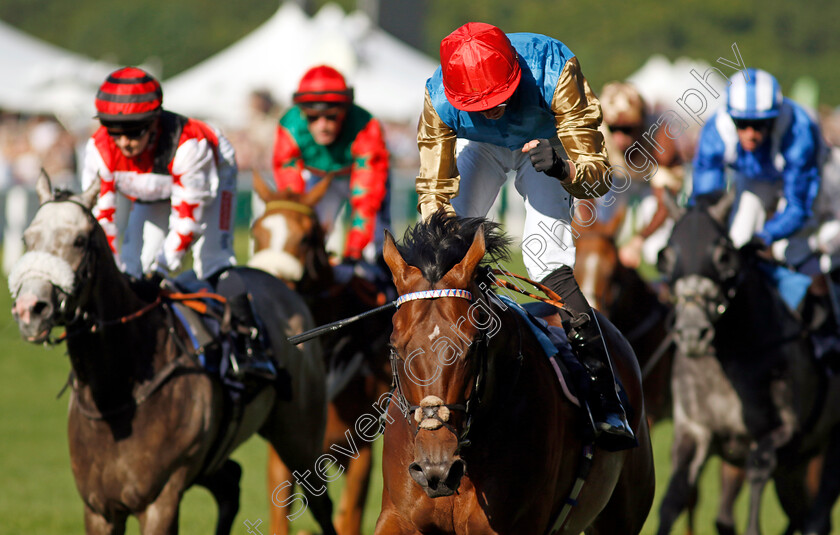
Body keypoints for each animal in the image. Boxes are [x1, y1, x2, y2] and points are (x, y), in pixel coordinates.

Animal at [9, 174, 338, 532]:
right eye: (27, 238)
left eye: (80, 241)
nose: (30, 309)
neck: (117, 392)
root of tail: (282, 285)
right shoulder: (99, 509)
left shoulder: (160, 501)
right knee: (231, 486)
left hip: (299, 435)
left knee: (320, 503)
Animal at [656, 192, 840, 535]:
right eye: (666, 256)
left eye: (723, 257)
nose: (691, 332)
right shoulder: (693, 429)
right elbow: (673, 498)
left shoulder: (785, 430)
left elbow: (757, 466)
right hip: (795, 468)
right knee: (802, 514)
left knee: (817, 516)